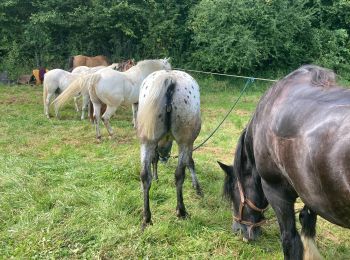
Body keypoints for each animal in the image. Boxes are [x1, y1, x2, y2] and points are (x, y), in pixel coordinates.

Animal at [137, 70, 202, 229]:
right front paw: (197, 187)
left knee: (144, 176)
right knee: (179, 175)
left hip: (146, 141)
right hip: (184, 141)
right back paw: (181, 211)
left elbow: (153, 159)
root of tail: (169, 78)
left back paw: (147, 218)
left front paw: (156, 177)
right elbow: (190, 162)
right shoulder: (189, 143)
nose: (165, 158)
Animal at [219, 65, 350, 260]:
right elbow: (307, 220)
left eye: (235, 192)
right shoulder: (310, 192)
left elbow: (290, 241)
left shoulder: (277, 192)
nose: (237, 229)